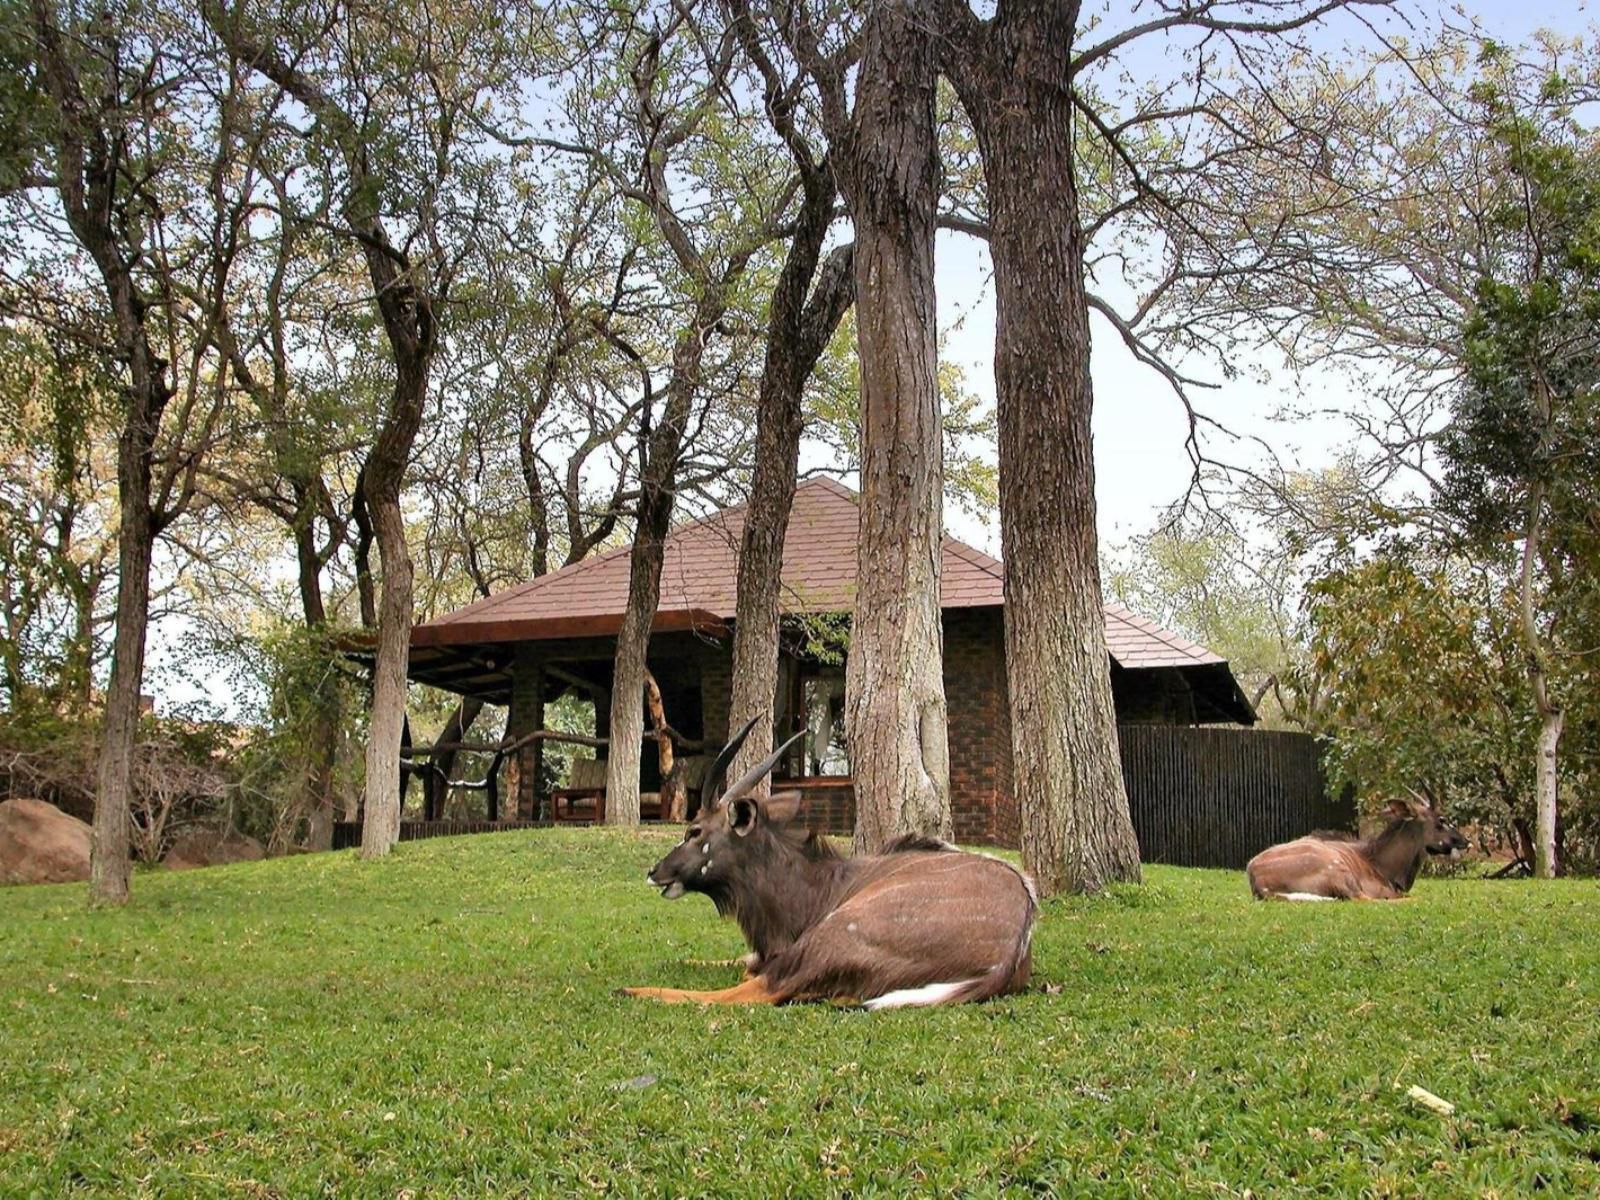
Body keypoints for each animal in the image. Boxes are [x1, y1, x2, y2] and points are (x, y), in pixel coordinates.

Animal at [624, 720, 1036, 1011]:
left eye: (694, 831)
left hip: (833, 932)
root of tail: (1006, 957)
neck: (817, 885)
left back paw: (631, 989)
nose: (654, 872)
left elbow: (748, 972)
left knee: (759, 991)